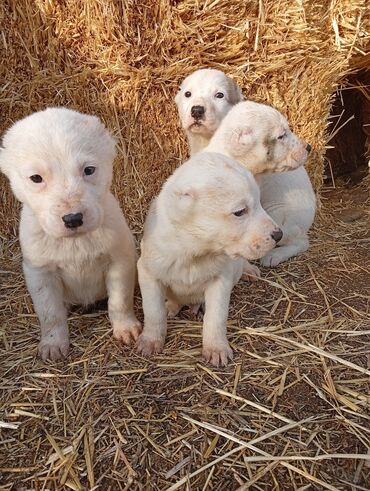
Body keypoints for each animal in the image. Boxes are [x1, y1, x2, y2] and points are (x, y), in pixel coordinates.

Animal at [0, 107, 142, 362]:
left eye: (89, 170)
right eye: (36, 178)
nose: (73, 218)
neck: (76, 242)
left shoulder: (120, 261)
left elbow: (119, 300)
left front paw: (125, 328)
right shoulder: (40, 273)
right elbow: (50, 313)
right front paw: (53, 343)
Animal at [137, 153, 282, 366]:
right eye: (240, 212)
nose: (279, 235)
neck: (196, 252)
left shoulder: (221, 280)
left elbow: (216, 317)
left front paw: (216, 348)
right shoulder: (148, 273)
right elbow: (153, 311)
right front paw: (150, 340)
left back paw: (249, 271)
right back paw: (171, 306)